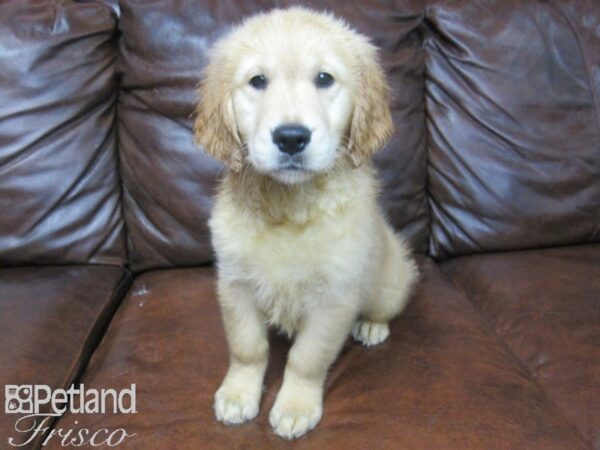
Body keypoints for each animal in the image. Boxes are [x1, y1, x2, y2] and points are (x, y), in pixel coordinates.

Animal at [196, 7, 418, 442]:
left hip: (391, 281)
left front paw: (295, 406)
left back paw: (372, 327)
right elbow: (247, 348)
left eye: (324, 78)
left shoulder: (333, 298)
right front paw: (238, 394)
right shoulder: (235, 284)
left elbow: (306, 358)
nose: (291, 137)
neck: (289, 204)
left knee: (385, 308)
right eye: (257, 81)